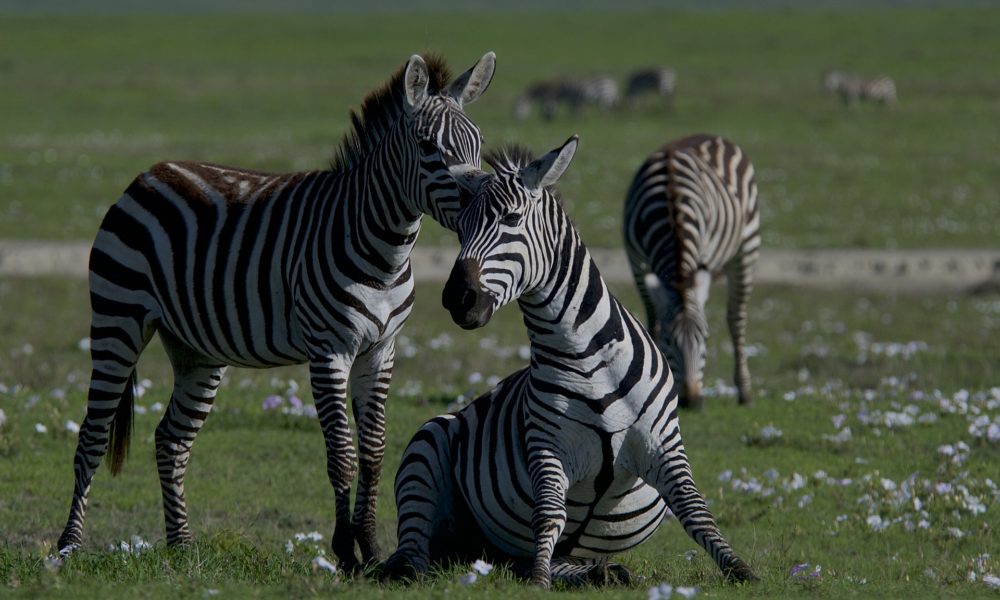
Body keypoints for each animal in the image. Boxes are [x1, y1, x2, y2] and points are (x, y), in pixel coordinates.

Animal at [620, 134, 760, 410]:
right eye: (667, 340)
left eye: (705, 338)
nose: (692, 401)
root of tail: (710, 135)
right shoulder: (636, 263)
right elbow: (653, 318)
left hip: (746, 248)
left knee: (736, 319)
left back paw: (744, 392)